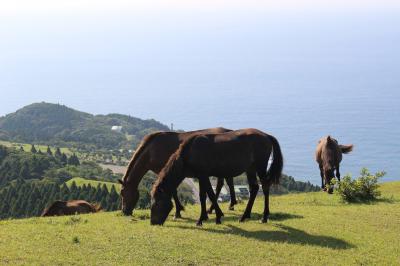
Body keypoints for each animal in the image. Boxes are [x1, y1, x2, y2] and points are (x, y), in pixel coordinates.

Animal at [151, 129, 284, 227]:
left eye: (157, 203)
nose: (153, 222)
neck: (189, 152)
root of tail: (266, 135)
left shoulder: (203, 175)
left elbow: (209, 194)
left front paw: (211, 217)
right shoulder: (200, 176)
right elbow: (203, 196)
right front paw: (206, 217)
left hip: (260, 166)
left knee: (265, 186)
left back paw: (264, 217)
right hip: (250, 169)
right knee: (254, 188)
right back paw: (244, 216)